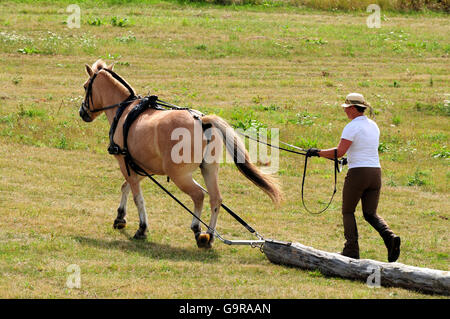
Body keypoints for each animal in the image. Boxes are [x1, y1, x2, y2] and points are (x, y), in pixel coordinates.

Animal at [77, 60, 282, 250]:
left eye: (86, 86)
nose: (82, 112)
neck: (126, 111)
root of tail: (203, 120)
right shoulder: (142, 166)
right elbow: (125, 187)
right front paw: (120, 217)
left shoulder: (125, 162)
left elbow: (137, 197)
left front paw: (142, 228)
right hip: (208, 169)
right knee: (215, 198)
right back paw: (209, 236)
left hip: (179, 175)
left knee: (199, 195)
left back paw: (197, 229)